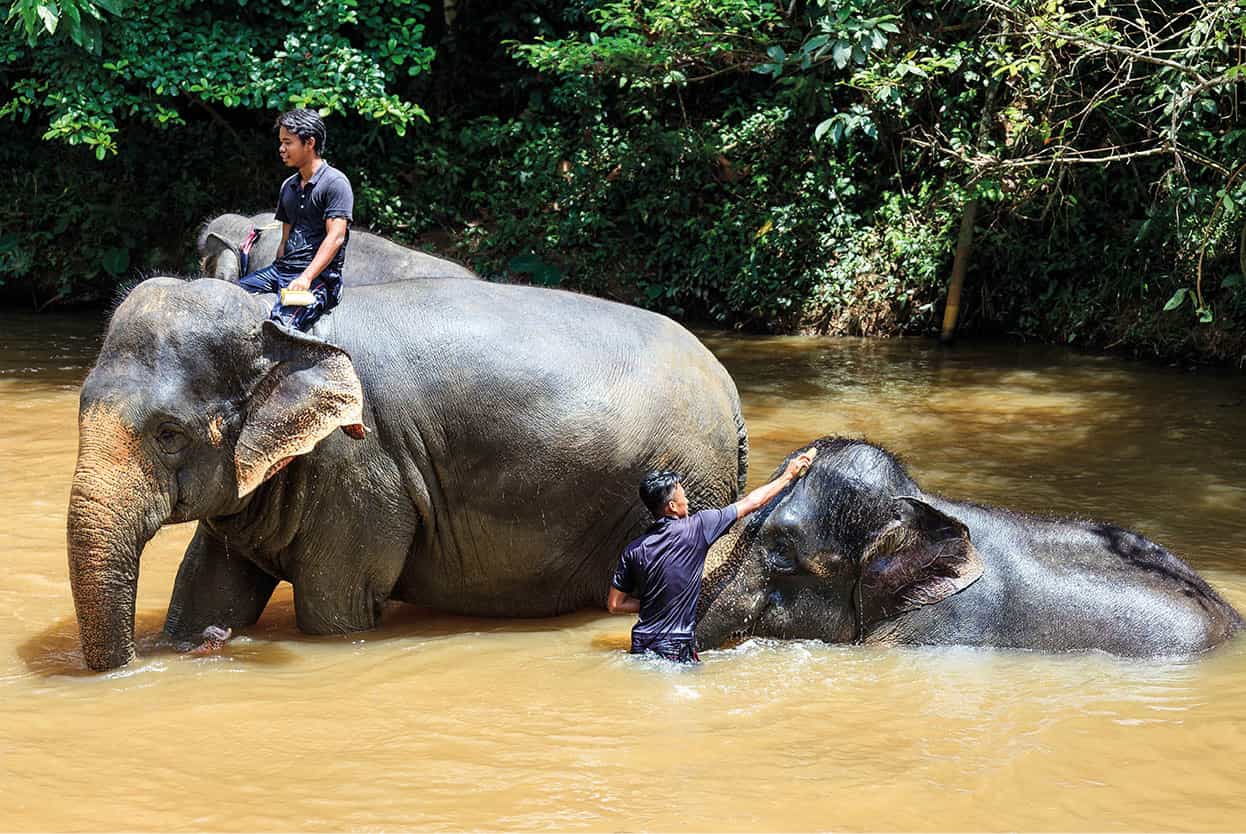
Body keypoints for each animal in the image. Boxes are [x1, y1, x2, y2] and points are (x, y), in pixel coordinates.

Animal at [68, 276, 742, 668]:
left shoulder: (362, 469)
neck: (279, 325)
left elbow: (334, 610)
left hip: (688, 475)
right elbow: (210, 585)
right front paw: (192, 639)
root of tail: (730, 396)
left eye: (168, 434)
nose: (135, 665)